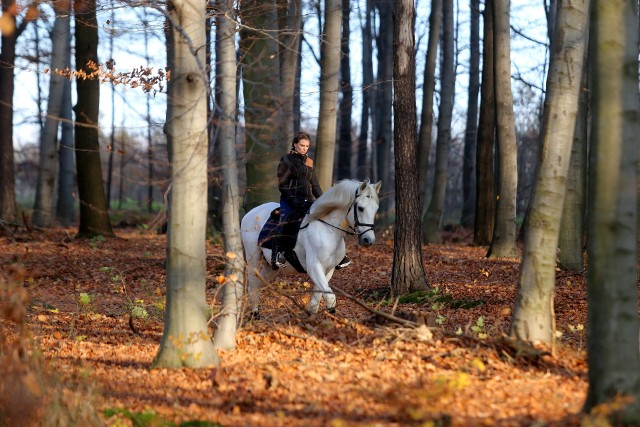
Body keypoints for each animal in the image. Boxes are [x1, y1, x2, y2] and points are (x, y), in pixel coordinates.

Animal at [240, 179, 380, 316]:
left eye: (376, 209)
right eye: (361, 208)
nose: (369, 240)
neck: (328, 230)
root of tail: (250, 213)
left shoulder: (328, 270)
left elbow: (317, 298)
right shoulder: (314, 268)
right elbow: (330, 299)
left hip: (271, 266)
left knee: (260, 282)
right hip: (253, 257)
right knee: (253, 283)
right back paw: (255, 313)